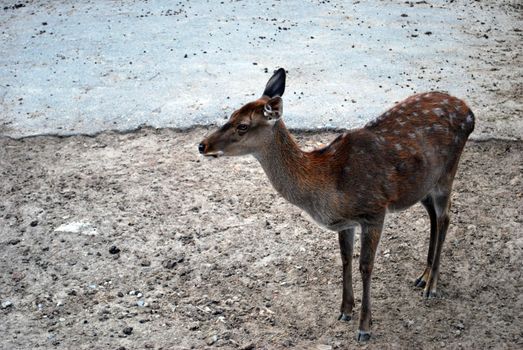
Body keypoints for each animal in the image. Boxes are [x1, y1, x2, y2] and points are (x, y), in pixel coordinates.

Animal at [199, 68, 476, 342]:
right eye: (230, 114)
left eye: (242, 126)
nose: (203, 145)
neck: (327, 184)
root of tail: (469, 112)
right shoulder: (346, 222)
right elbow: (345, 259)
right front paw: (345, 310)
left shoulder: (375, 210)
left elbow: (365, 266)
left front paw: (364, 327)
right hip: (422, 184)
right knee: (433, 215)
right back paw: (424, 276)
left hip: (447, 172)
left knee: (445, 217)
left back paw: (432, 286)